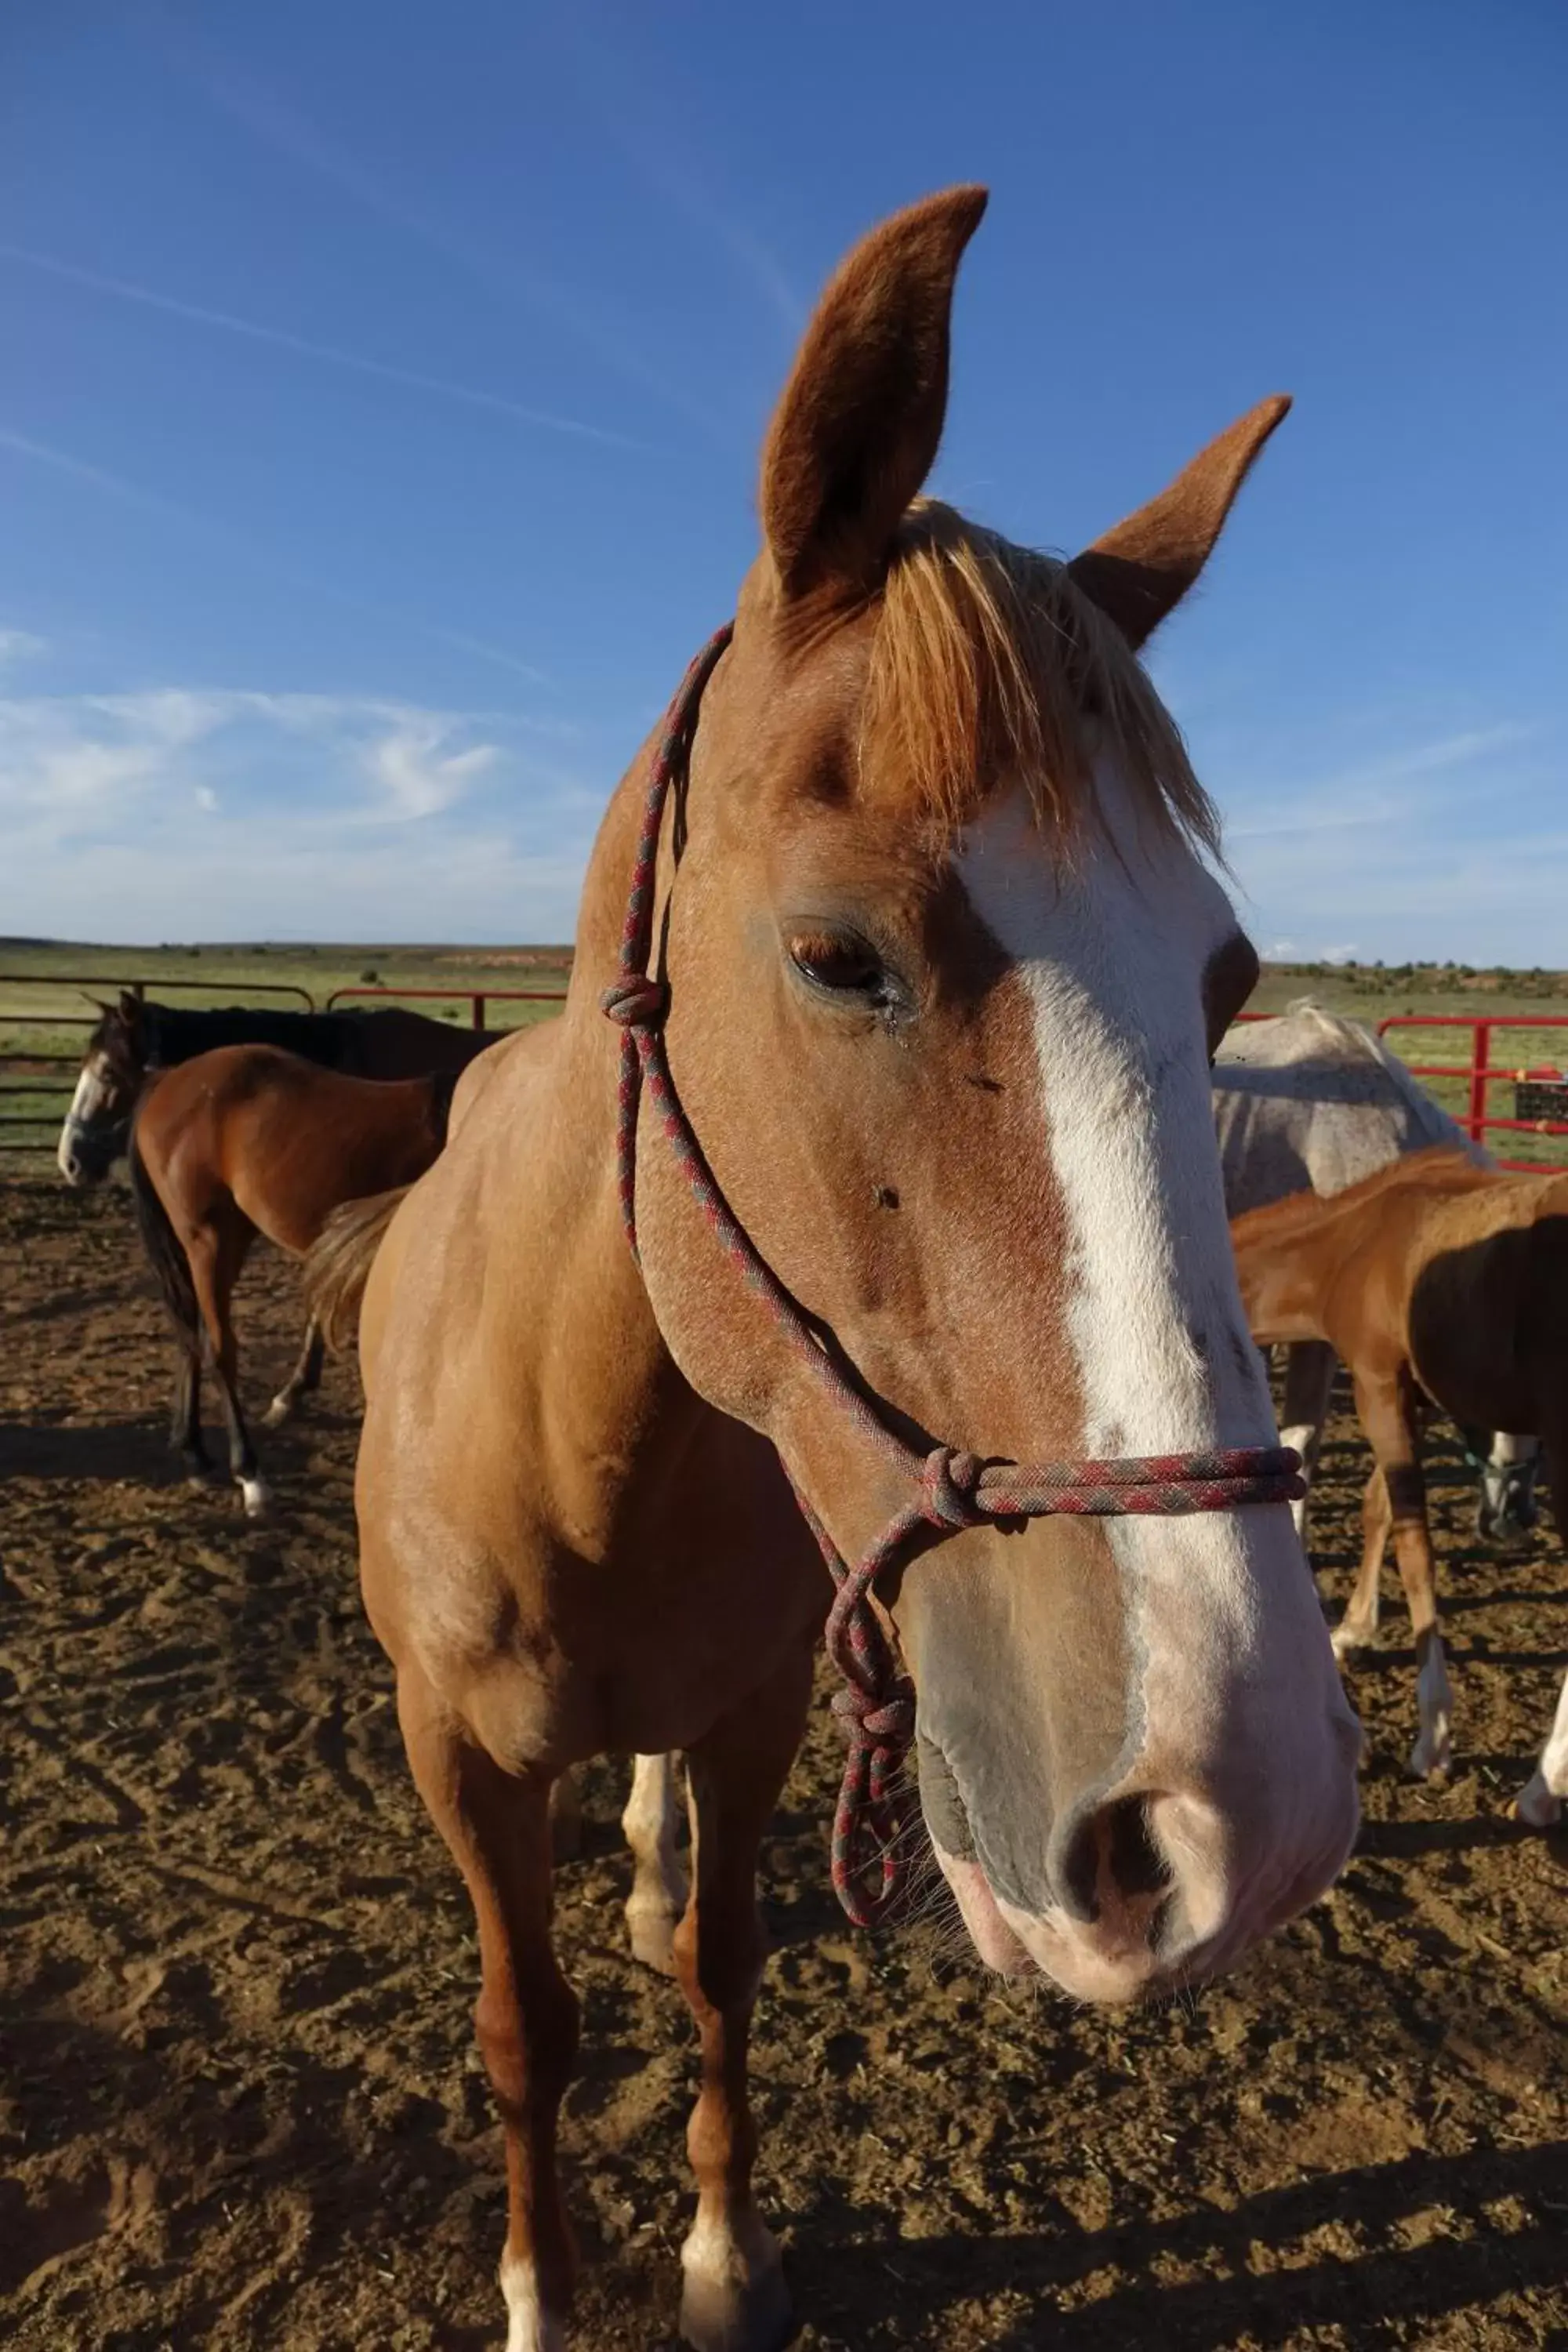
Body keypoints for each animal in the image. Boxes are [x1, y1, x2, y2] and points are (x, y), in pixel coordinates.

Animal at [129, 1044, 463, 1505]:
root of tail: (169, 1079)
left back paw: (195, 1454)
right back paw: (248, 1471)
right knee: (218, 1347)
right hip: (206, 1240)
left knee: (190, 1334)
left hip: (226, 1237)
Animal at [310, 188, 1363, 2352]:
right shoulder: (454, 1760)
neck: (584, 1437)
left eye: (1223, 977)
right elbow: (526, 2032)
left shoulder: (752, 1718)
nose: (1254, 1803)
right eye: (832, 953)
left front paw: (723, 2256)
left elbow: (715, 1973)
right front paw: (544, 2290)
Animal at [1241, 1143, 1568, 1797]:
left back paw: (1543, 1788)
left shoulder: (1377, 1386)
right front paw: (1353, 1629)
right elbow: (1380, 1509)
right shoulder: (1408, 1397)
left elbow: (1416, 1548)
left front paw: (1434, 1733)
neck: (1351, 1244)